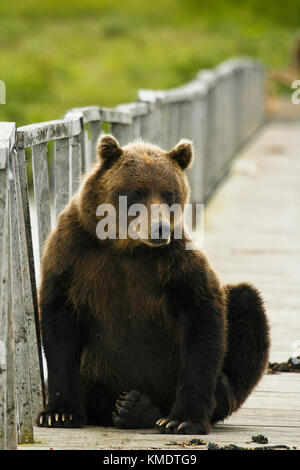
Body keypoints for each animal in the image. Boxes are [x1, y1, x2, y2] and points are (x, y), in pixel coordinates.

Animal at [37, 134, 270, 436]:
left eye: (169, 193)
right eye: (137, 191)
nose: (160, 228)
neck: (125, 246)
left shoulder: (174, 264)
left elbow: (203, 318)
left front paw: (183, 420)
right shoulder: (73, 255)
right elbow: (59, 327)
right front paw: (59, 413)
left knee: (245, 302)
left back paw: (208, 393)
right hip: (99, 370)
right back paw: (131, 407)